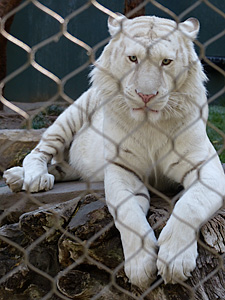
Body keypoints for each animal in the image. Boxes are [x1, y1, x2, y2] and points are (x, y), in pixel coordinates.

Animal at [3, 14, 225, 288]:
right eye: (133, 58)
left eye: (166, 61)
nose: (146, 95)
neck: (149, 125)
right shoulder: (122, 170)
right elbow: (128, 214)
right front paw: (140, 268)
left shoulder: (206, 167)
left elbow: (190, 206)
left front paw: (174, 260)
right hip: (70, 115)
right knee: (38, 152)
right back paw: (32, 178)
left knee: (63, 166)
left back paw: (17, 178)